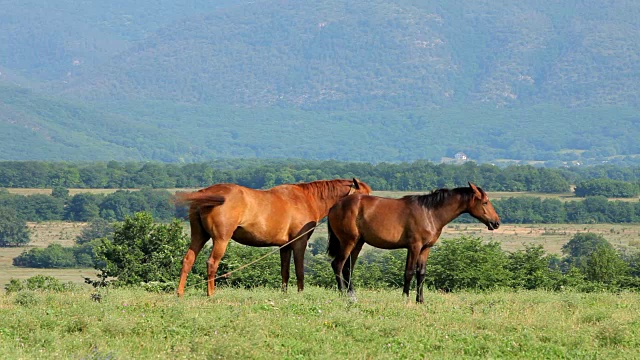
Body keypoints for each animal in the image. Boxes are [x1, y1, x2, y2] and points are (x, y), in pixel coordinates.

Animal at [175, 179, 370, 296]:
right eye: (363, 195)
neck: (306, 199)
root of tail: (206, 193)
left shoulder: (284, 246)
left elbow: (285, 272)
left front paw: (284, 294)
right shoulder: (299, 243)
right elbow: (299, 271)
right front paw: (300, 293)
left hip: (199, 236)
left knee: (188, 260)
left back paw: (180, 293)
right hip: (221, 239)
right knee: (212, 263)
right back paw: (211, 294)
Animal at [330, 183, 500, 304]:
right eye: (485, 202)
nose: (496, 223)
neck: (429, 213)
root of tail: (335, 206)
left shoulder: (425, 248)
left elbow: (421, 273)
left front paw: (421, 300)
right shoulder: (414, 247)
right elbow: (409, 272)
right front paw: (406, 299)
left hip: (358, 243)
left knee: (348, 268)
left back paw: (352, 296)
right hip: (348, 241)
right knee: (338, 264)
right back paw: (342, 295)